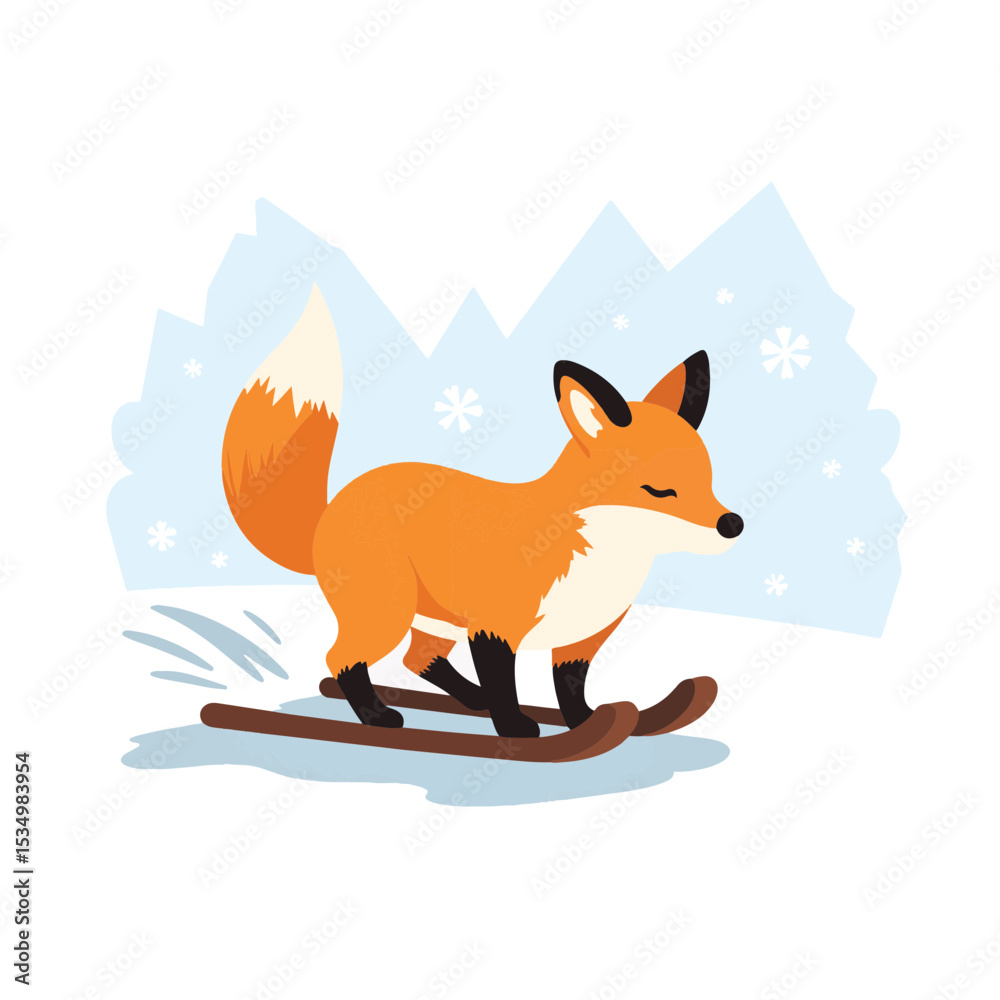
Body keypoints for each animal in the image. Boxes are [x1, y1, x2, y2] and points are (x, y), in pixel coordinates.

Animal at [222, 285, 743, 738]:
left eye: (709, 482)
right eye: (660, 490)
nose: (732, 525)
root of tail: (333, 506)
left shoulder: (581, 641)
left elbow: (569, 692)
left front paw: (585, 725)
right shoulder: (495, 627)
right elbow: (504, 685)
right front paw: (514, 729)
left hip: (432, 619)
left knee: (417, 658)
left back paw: (468, 701)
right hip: (388, 612)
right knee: (341, 660)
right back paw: (378, 717)